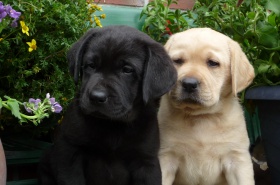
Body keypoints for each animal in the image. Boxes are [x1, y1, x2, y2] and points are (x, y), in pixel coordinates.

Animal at [38, 26, 176, 185]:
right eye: (91, 65)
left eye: (127, 70)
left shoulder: (146, 161)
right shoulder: (69, 152)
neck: (113, 125)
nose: (97, 97)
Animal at [159, 27, 255, 185]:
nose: (189, 84)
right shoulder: (165, 157)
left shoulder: (237, 159)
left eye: (213, 63)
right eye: (177, 61)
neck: (201, 117)